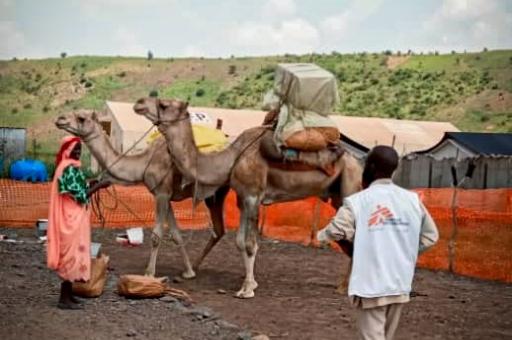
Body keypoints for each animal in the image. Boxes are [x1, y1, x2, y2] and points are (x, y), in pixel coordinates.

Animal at [54, 111, 228, 278]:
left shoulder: (162, 193)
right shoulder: (165, 195)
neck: (144, 163)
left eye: (81, 118)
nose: (60, 119)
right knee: (219, 230)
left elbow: (157, 235)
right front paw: (188, 272)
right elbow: (176, 233)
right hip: (216, 194)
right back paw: (196, 266)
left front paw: (149, 273)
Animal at [133, 97, 364, 298]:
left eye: (164, 104)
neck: (231, 159)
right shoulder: (243, 198)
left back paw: (347, 288)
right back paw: (342, 287)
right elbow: (240, 241)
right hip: (336, 195)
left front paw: (246, 290)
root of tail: (357, 163)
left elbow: (251, 244)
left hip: (350, 184)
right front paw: (250, 283)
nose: (139, 103)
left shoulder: (253, 196)